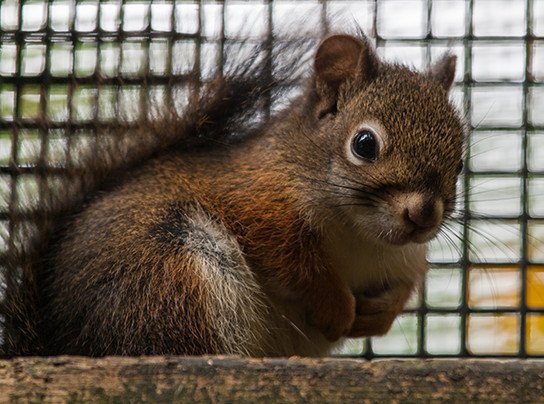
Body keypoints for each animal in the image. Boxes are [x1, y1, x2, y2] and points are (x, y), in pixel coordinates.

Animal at [2, 34, 466, 356]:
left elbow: (403, 285)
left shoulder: (403, 259)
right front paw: (336, 306)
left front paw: (378, 315)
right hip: (169, 277)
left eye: (460, 163)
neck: (361, 237)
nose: (423, 215)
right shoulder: (254, 201)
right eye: (364, 144)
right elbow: (295, 264)